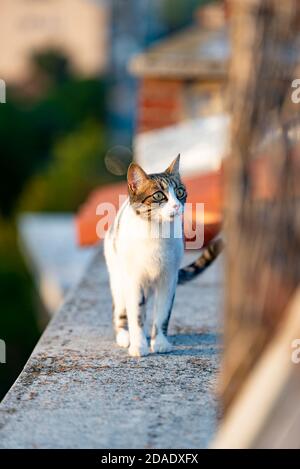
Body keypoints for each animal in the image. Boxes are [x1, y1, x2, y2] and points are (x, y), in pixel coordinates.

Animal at [103, 155, 223, 356]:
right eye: (159, 195)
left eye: (180, 192)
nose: (176, 205)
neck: (156, 232)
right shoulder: (134, 280)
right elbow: (135, 313)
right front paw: (138, 345)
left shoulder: (169, 278)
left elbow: (162, 314)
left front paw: (159, 342)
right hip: (118, 278)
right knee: (120, 310)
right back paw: (125, 336)